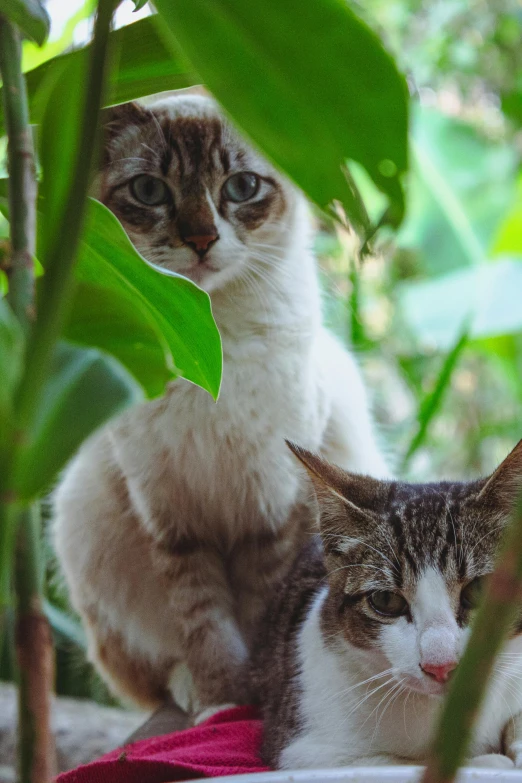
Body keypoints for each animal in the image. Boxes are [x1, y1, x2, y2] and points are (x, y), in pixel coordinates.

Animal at [52, 92, 388, 716]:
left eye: (242, 187)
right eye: (150, 191)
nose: (202, 240)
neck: (207, 351)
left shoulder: (271, 511)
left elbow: (258, 616)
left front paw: (250, 703)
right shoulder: (174, 521)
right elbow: (205, 626)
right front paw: (219, 702)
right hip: (82, 515)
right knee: (151, 679)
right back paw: (189, 692)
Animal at [247, 440, 520, 772]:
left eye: (479, 590)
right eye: (386, 601)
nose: (440, 666)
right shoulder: (302, 750)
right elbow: (397, 763)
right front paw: (489, 761)